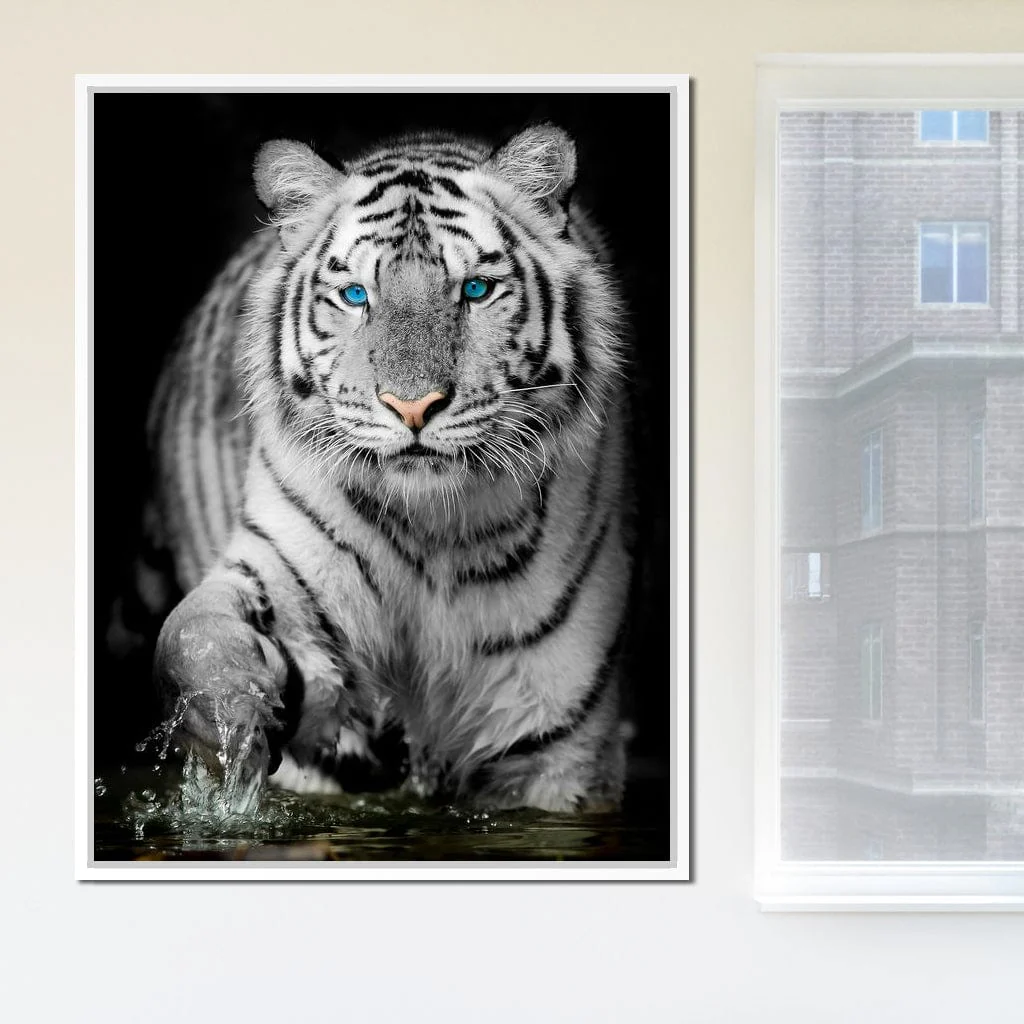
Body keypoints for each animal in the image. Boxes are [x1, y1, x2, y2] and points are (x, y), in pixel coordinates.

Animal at [144, 122, 634, 813]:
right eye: (356, 296)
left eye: (475, 290)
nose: (412, 406)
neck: (434, 530)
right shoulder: (281, 573)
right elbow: (194, 635)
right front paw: (231, 718)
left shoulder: (557, 743)